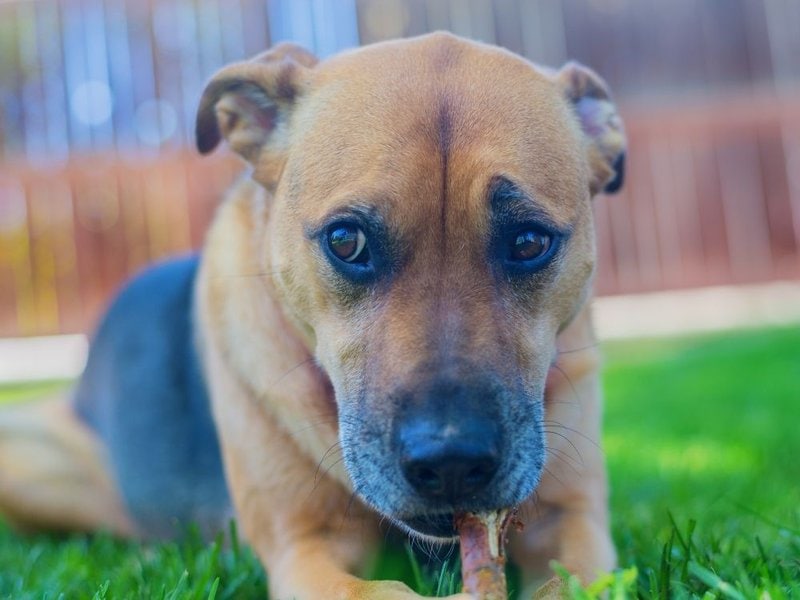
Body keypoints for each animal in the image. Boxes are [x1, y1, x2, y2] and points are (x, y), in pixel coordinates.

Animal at [0, 34, 624, 600]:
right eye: (346, 241)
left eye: (529, 242)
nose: (450, 462)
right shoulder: (303, 548)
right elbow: (377, 590)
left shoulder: (573, 521)